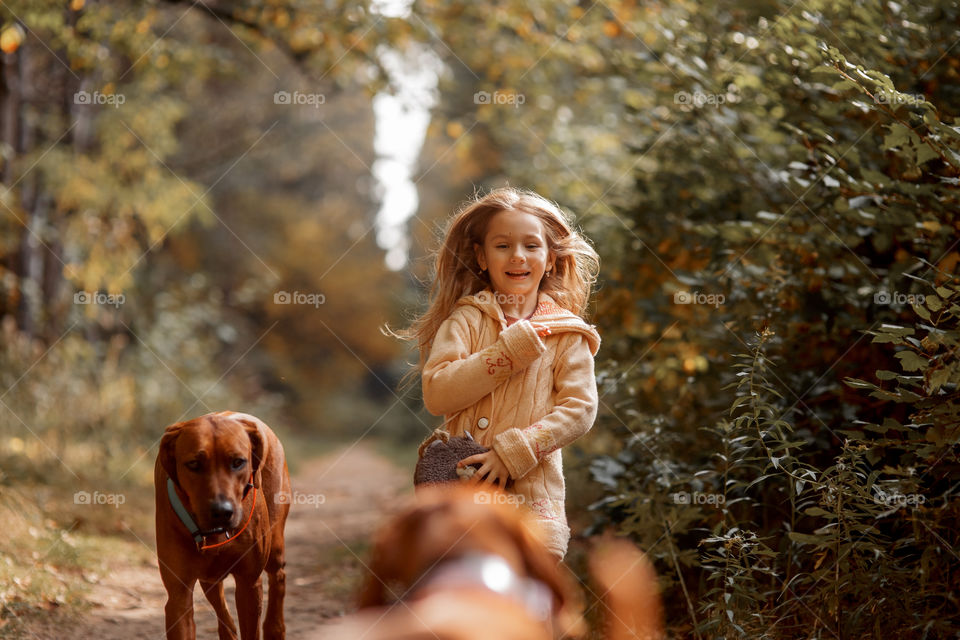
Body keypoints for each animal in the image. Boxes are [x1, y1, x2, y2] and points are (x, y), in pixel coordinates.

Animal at [156, 410, 290, 640]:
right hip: (210, 575)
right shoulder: (178, 596)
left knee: (278, 576)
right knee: (221, 607)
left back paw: (275, 628)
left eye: (238, 462)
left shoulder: (249, 583)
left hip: (275, 545)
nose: (222, 511)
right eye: (193, 464)